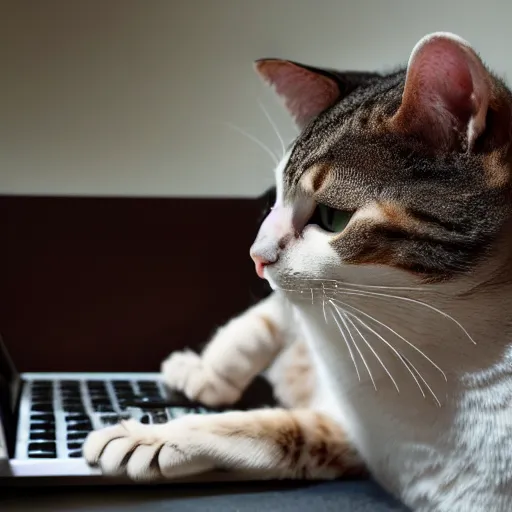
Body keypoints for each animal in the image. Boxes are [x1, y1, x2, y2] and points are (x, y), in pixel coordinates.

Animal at [83, 33, 512, 512]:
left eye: (331, 217)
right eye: (274, 197)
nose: (255, 255)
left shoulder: (359, 441)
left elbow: (275, 431)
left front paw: (148, 437)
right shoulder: (309, 310)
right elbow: (261, 324)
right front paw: (206, 376)